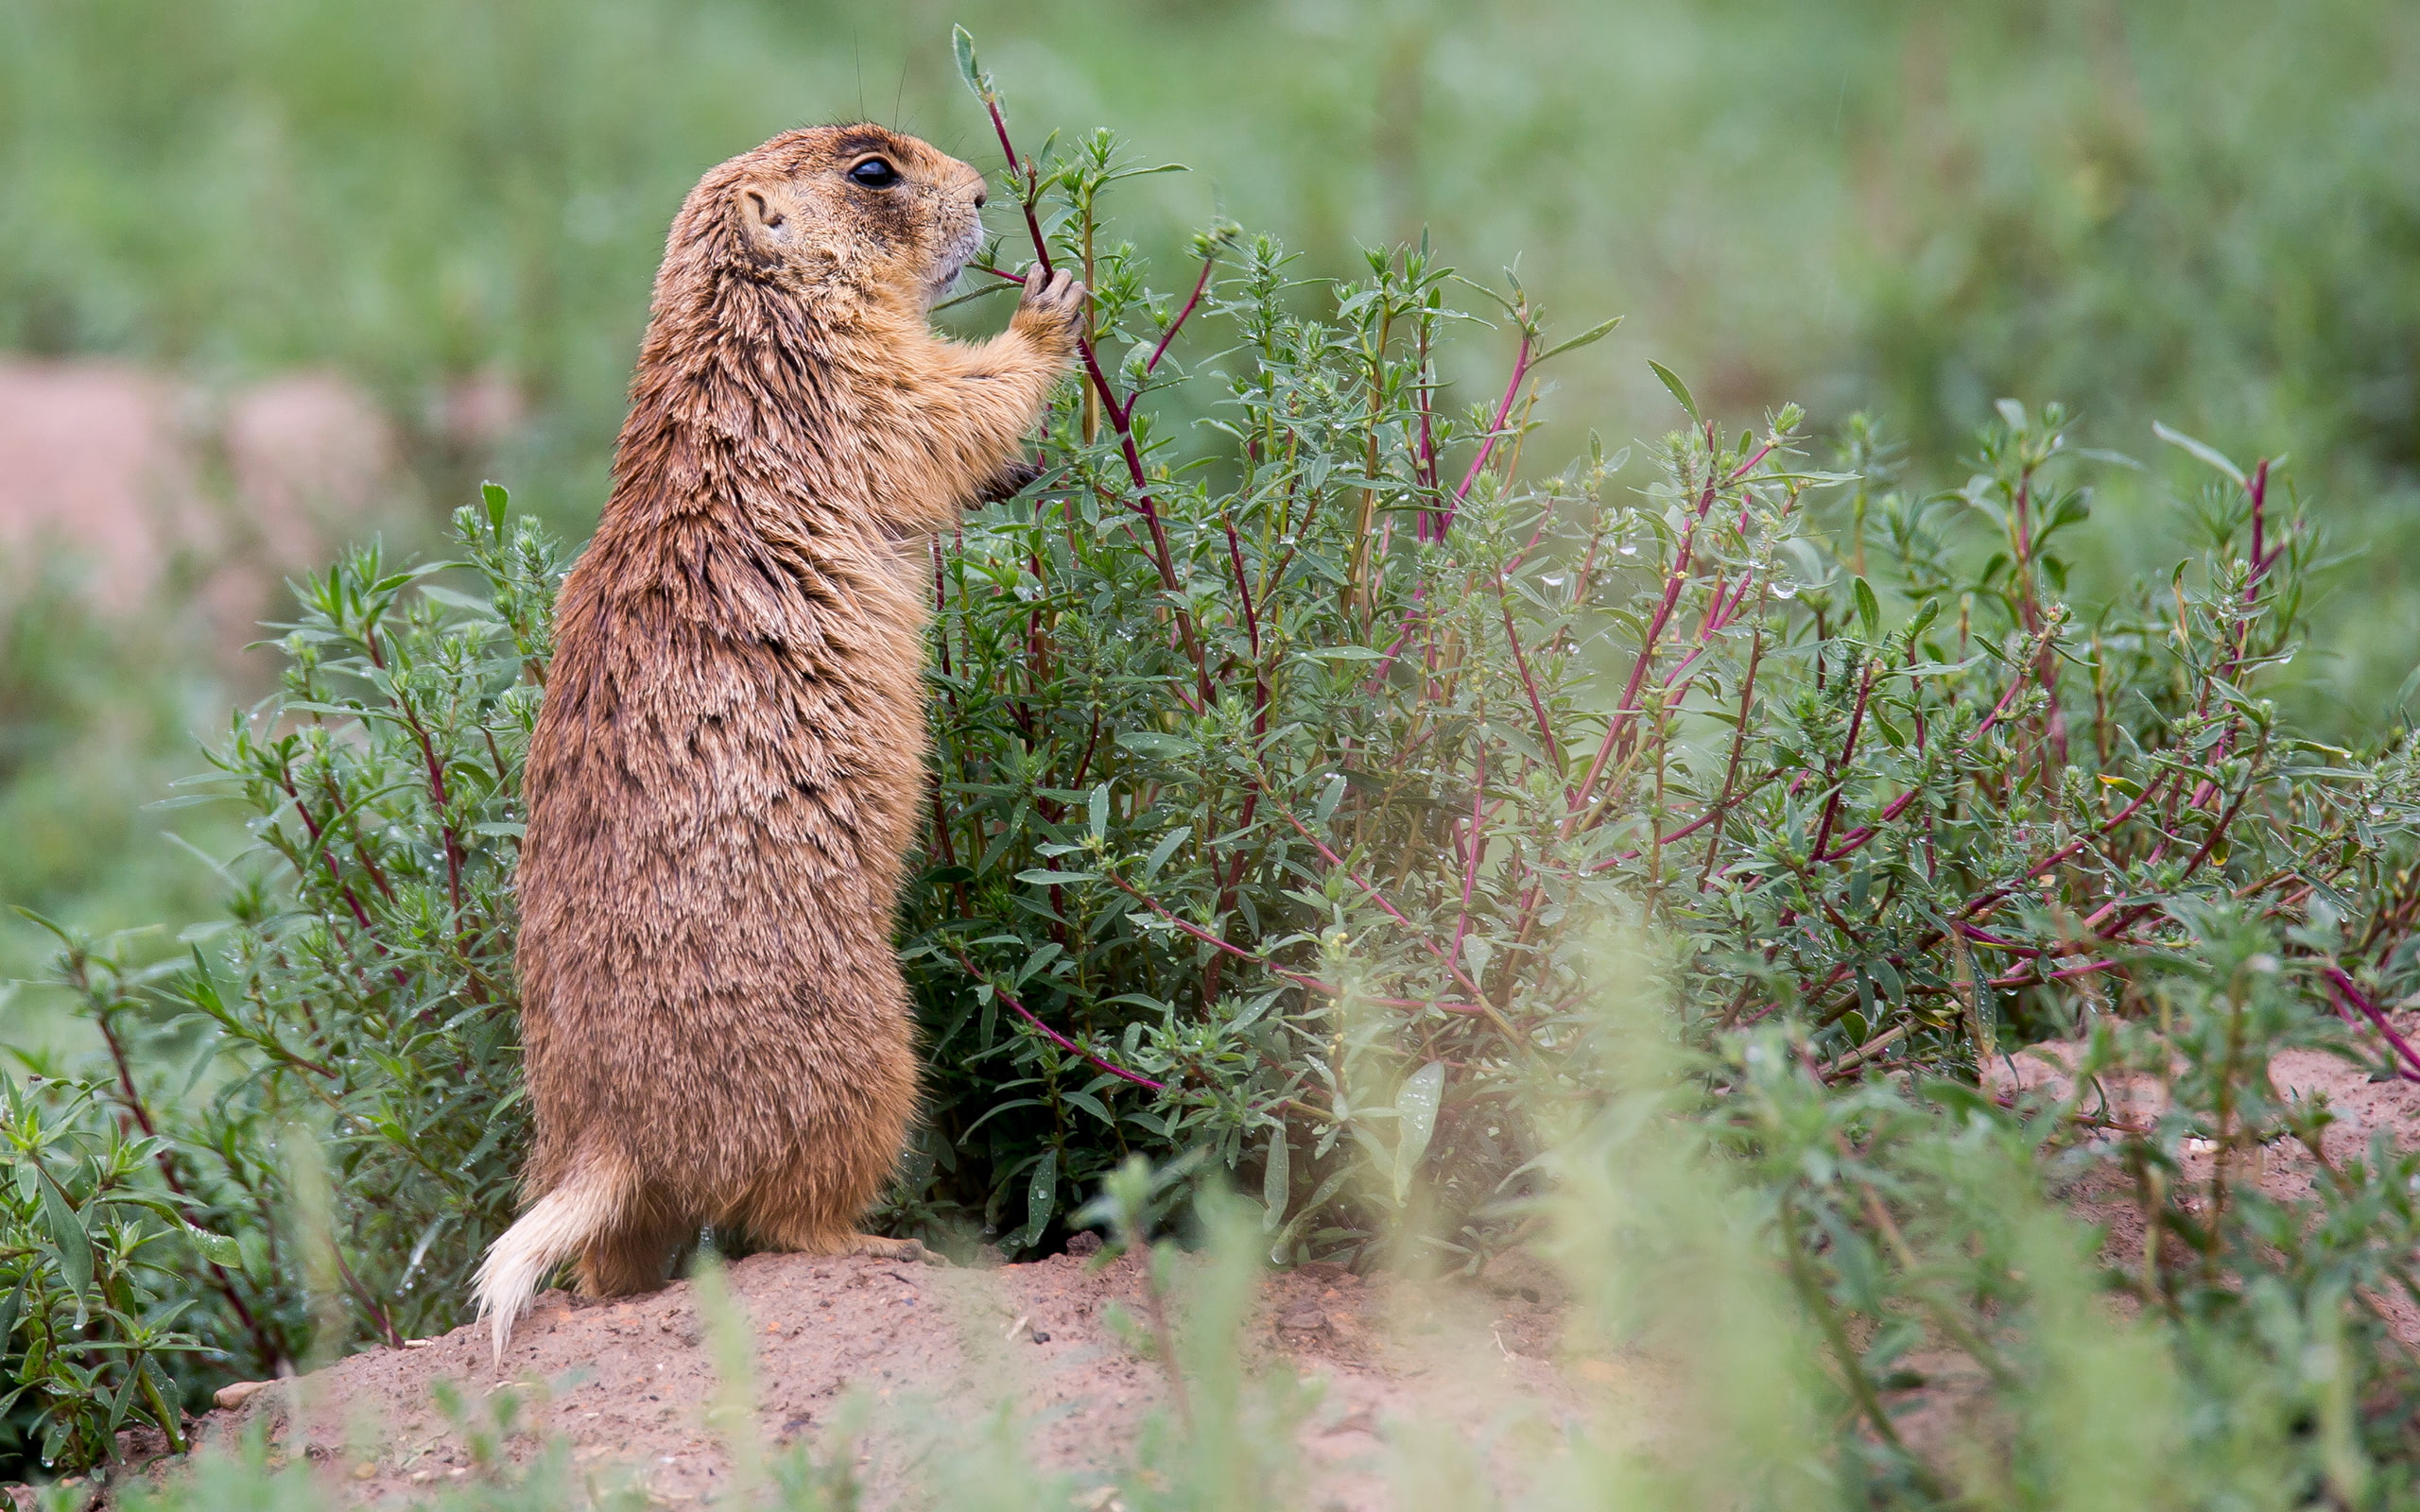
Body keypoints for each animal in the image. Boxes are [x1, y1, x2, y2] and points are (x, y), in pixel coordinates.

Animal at [471, 124, 1085, 1360]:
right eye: (872, 171)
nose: (985, 195)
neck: (744, 316)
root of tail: (611, 1136)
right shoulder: (853, 380)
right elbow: (946, 404)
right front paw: (1048, 307)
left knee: (625, 1264)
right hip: (865, 1055)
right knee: (784, 1220)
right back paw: (878, 1244)